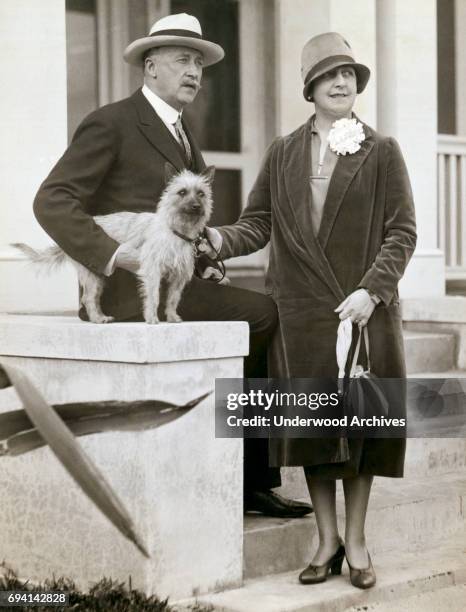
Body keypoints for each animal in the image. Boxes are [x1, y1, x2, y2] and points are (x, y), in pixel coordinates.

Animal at [14, 165, 215, 322]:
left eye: (201, 194)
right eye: (182, 192)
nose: (197, 206)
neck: (176, 230)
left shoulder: (178, 277)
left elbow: (173, 299)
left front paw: (172, 318)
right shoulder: (152, 272)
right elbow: (154, 297)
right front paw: (152, 319)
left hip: (99, 277)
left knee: (92, 299)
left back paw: (101, 316)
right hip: (92, 276)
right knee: (88, 298)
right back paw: (97, 319)